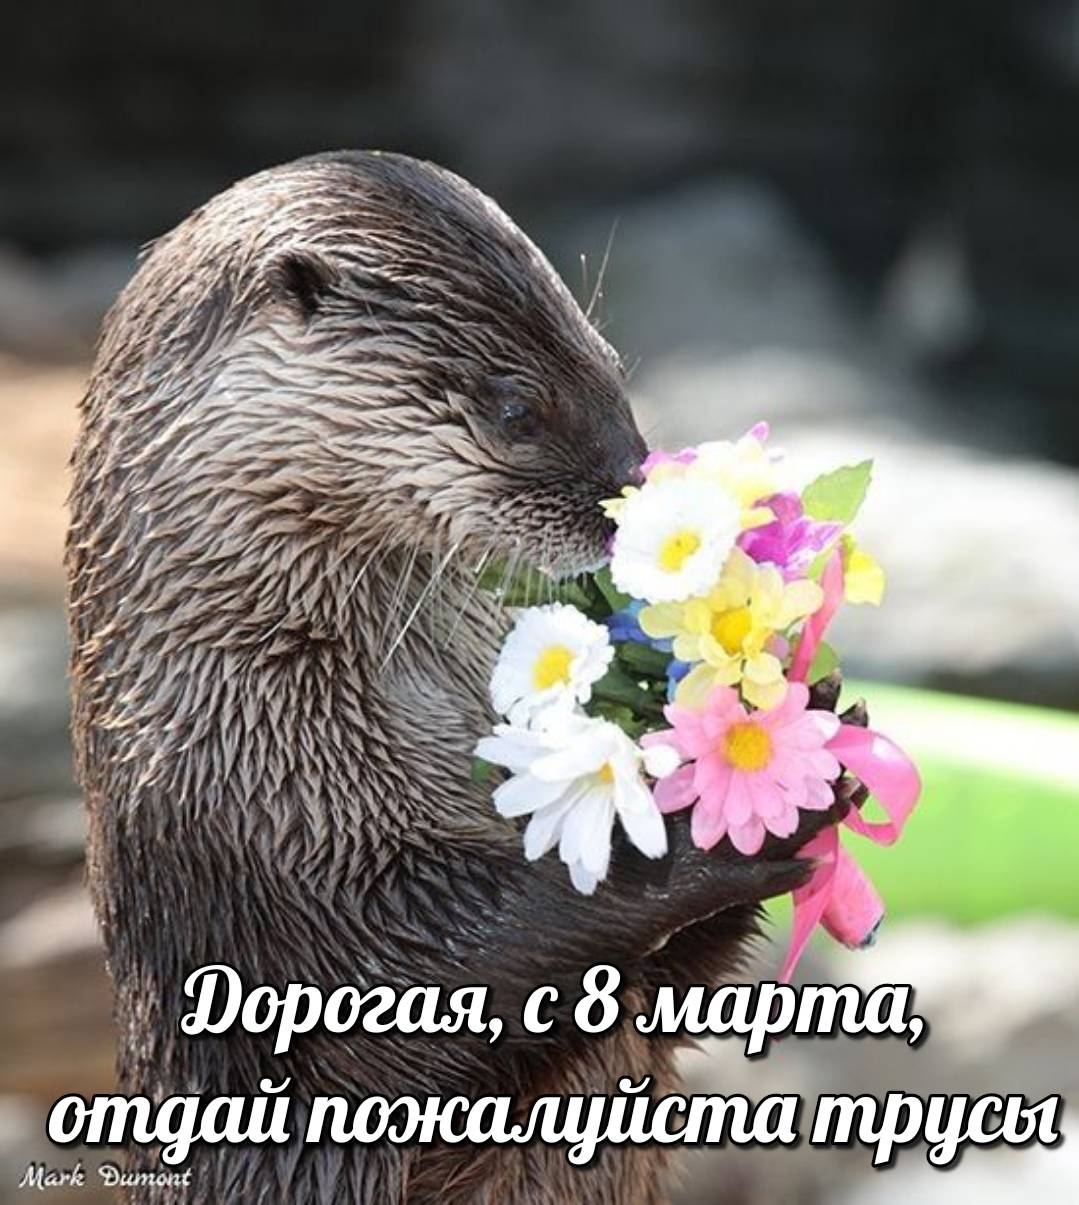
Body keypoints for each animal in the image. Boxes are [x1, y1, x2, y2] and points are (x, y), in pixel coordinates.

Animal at [67, 151, 852, 1203]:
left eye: (612, 366)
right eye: (516, 408)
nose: (632, 488)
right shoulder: (257, 845)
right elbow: (423, 979)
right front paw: (706, 828)